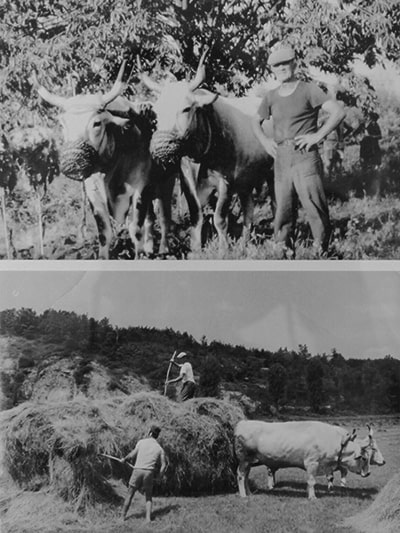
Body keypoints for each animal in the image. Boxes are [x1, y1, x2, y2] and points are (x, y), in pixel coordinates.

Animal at [236, 420, 374, 498]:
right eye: (364, 458)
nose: (368, 473)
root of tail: (242, 423)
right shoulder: (312, 463)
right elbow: (312, 481)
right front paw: (312, 497)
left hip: (249, 461)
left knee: (246, 476)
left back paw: (249, 493)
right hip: (244, 459)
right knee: (241, 475)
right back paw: (243, 495)